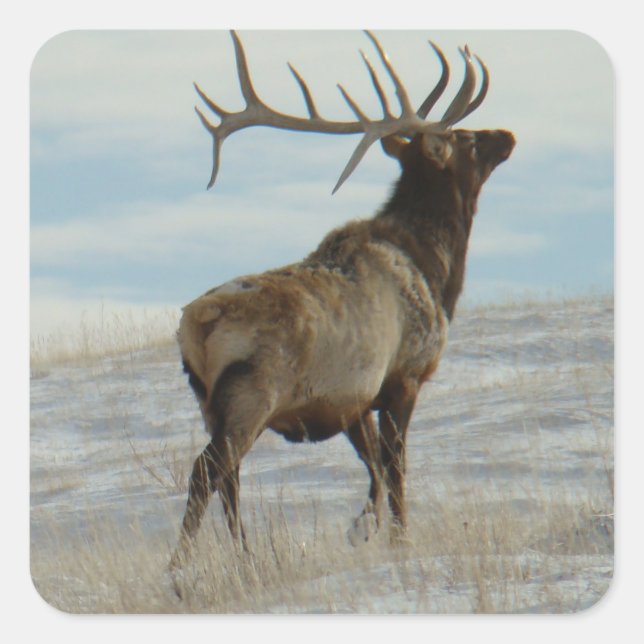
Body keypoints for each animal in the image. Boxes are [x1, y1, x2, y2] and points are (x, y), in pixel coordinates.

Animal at [170, 30, 515, 577]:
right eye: (465, 138)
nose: (506, 134)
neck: (436, 271)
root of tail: (197, 324)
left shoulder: (352, 397)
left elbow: (372, 466)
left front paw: (363, 527)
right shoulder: (403, 375)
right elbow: (395, 468)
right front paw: (396, 538)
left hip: (208, 401)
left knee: (229, 477)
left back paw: (246, 556)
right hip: (253, 392)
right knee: (208, 470)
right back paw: (180, 566)